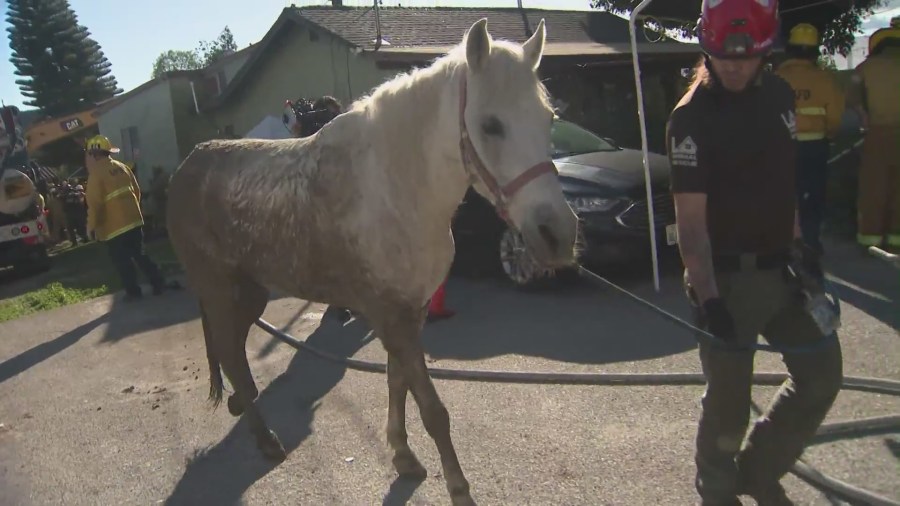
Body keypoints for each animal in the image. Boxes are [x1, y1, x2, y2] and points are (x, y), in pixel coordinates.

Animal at [167, 17, 576, 504]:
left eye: (549, 119)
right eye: (490, 125)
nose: (557, 234)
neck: (394, 187)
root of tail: (185, 169)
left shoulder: (409, 311)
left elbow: (396, 383)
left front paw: (403, 456)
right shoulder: (390, 315)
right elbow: (432, 408)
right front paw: (458, 488)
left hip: (249, 293)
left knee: (234, 353)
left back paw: (245, 413)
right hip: (217, 289)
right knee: (230, 352)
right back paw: (266, 440)